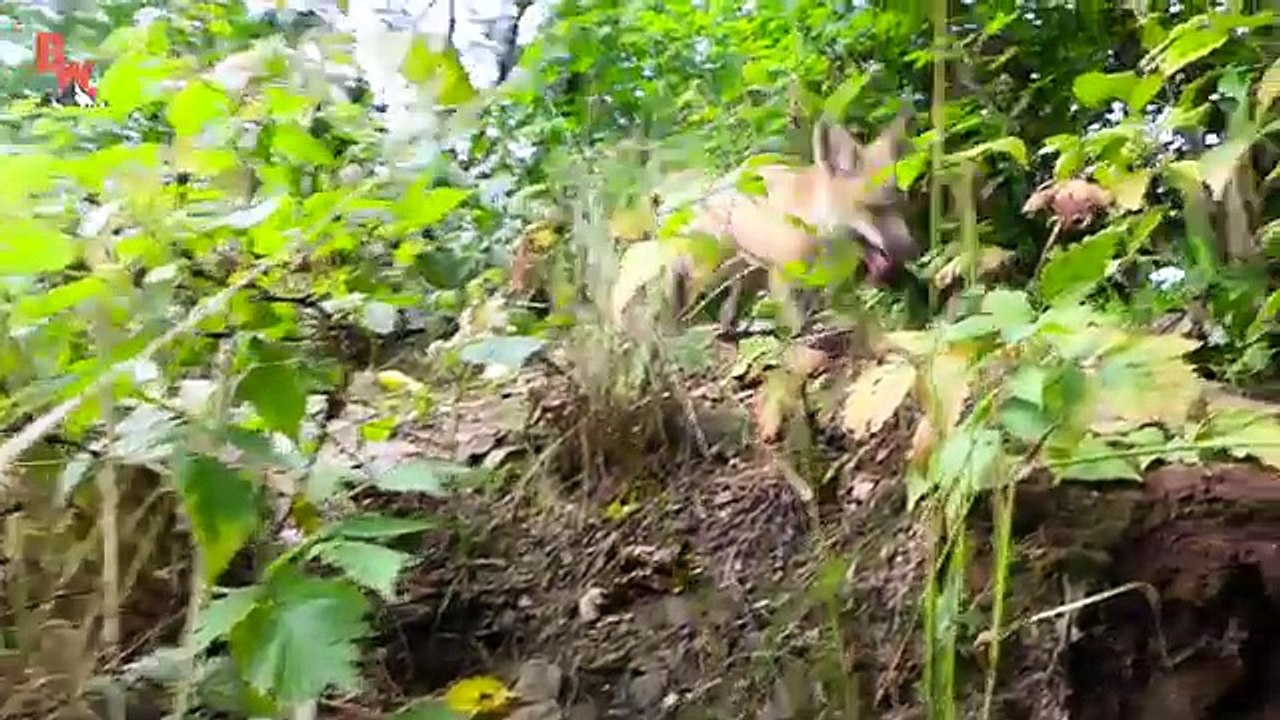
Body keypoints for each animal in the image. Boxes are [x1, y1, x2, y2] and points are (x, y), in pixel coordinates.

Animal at [663, 107, 920, 333]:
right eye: (871, 209)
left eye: (901, 206)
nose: (911, 250)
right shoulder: (782, 275)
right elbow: (797, 324)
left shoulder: (816, 279)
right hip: (710, 272)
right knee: (684, 302)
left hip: (746, 273)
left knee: (729, 306)